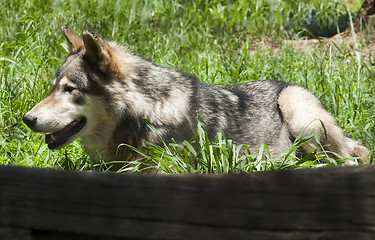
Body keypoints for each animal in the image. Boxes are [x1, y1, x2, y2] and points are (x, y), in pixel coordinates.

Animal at [22, 25, 370, 165]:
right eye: (54, 88)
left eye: (70, 90)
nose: (27, 119)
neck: (145, 115)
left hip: (300, 113)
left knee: (348, 158)